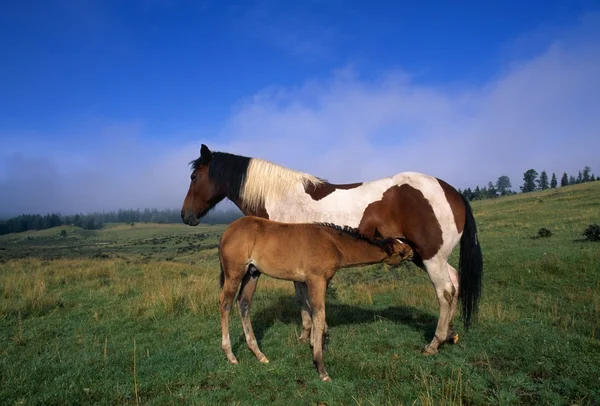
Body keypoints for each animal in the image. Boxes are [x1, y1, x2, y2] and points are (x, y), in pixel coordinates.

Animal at [179, 144, 482, 354]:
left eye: (194, 176)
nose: (185, 216)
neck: (278, 196)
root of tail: (451, 190)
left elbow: (302, 299)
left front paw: (306, 335)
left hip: (431, 257)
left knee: (445, 292)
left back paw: (434, 343)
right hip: (428, 257)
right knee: (455, 283)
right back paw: (449, 335)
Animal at [218, 216, 414, 380]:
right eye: (400, 251)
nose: (412, 250)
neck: (333, 244)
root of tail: (227, 232)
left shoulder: (315, 282)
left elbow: (313, 313)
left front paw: (316, 343)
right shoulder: (316, 279)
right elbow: (319, 316)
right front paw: (320, 366)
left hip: (252, 273)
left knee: (243, 303)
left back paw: (259, 354)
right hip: (235, 273)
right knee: (225, 304)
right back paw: (230, 354)